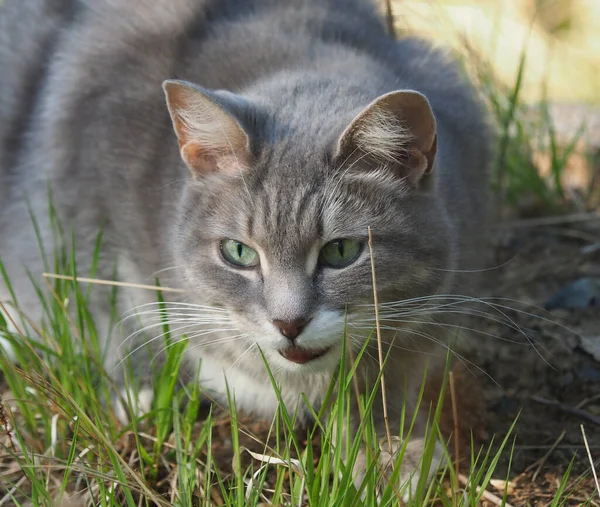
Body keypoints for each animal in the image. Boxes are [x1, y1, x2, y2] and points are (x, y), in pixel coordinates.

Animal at [0, 0, 492, 500]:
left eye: (341, 252)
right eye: (238, 252)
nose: (289, 323)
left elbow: (381, 381)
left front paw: (388, 455)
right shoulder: (84, 217)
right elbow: (111, 313)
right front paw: (140, 393)